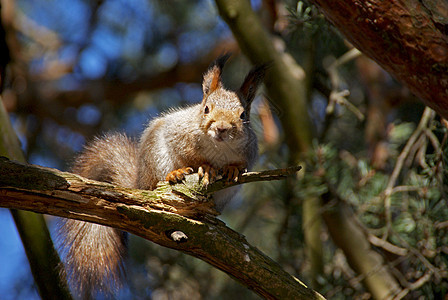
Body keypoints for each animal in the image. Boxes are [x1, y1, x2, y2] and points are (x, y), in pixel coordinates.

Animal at [56, 55, 266, 298]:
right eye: (206, 109)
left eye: (243, 115)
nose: (222, 128)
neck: (220, 147)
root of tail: (140, 181)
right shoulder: (178, 134)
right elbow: (190, 157)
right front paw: (205, 167)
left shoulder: (249, 152)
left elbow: (240, 165)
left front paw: (232, 169)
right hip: (156, 159)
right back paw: (174, 175)